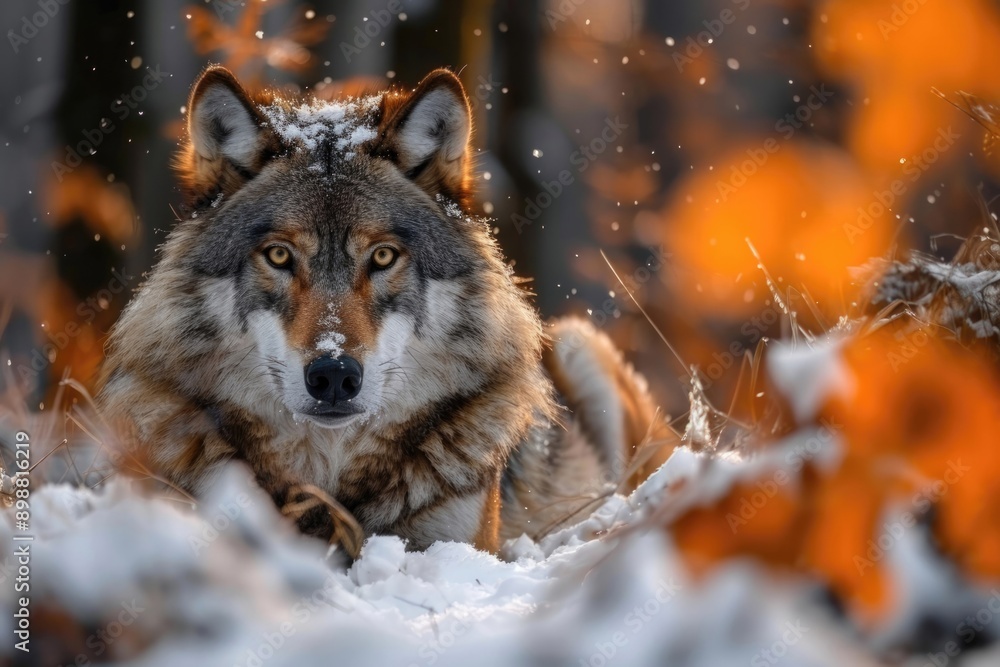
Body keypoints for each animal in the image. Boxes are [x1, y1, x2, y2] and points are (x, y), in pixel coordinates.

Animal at [98, 66, 672, 554]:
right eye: (279, 256)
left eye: (382, 256)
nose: (333, 375)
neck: (329, 482)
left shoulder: (458, 542)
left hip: (579, 342)